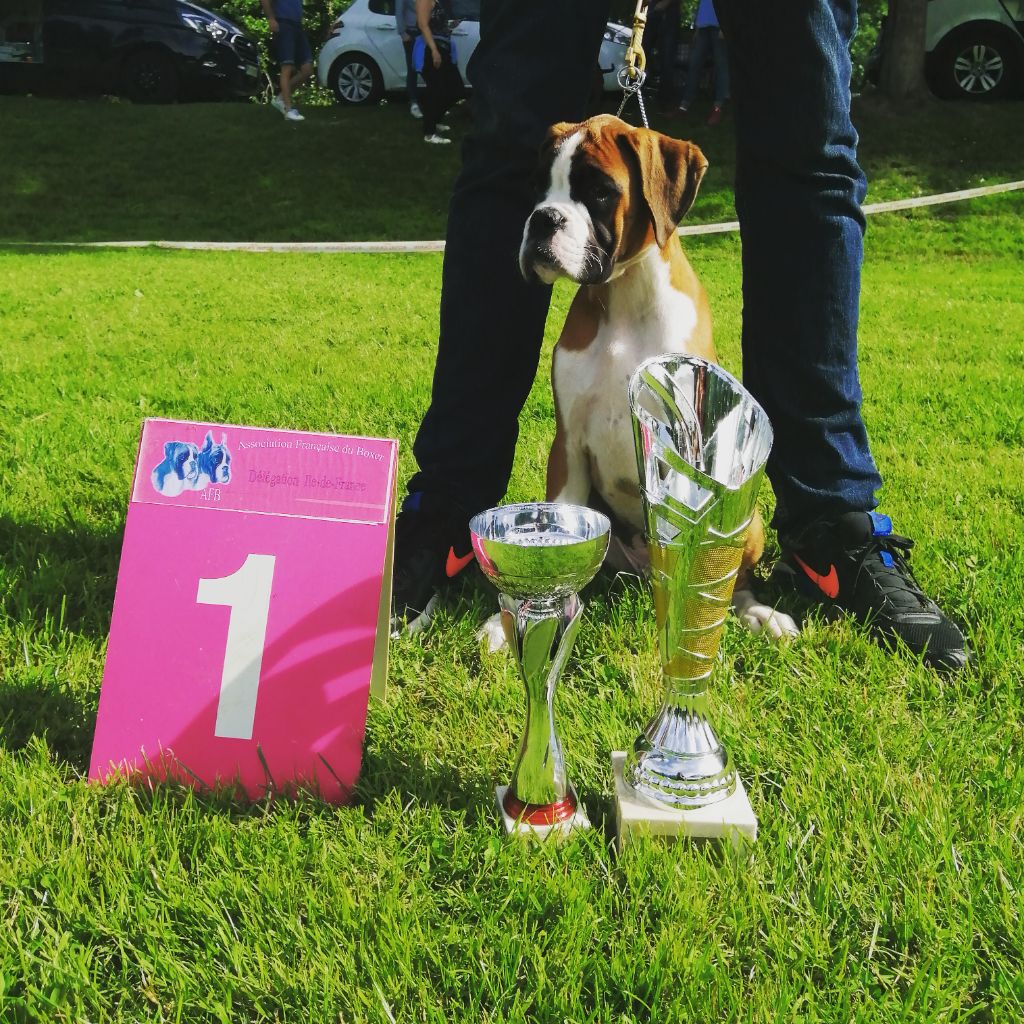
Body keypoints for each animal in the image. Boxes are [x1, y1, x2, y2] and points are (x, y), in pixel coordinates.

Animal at [477, 116, 790, 651]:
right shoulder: (568, 446)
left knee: (734, 582)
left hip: (748, 524)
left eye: (600, 191)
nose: (542, 219)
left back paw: (759, 614)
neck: (625, 294)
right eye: (537, 188)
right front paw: (512, 624)